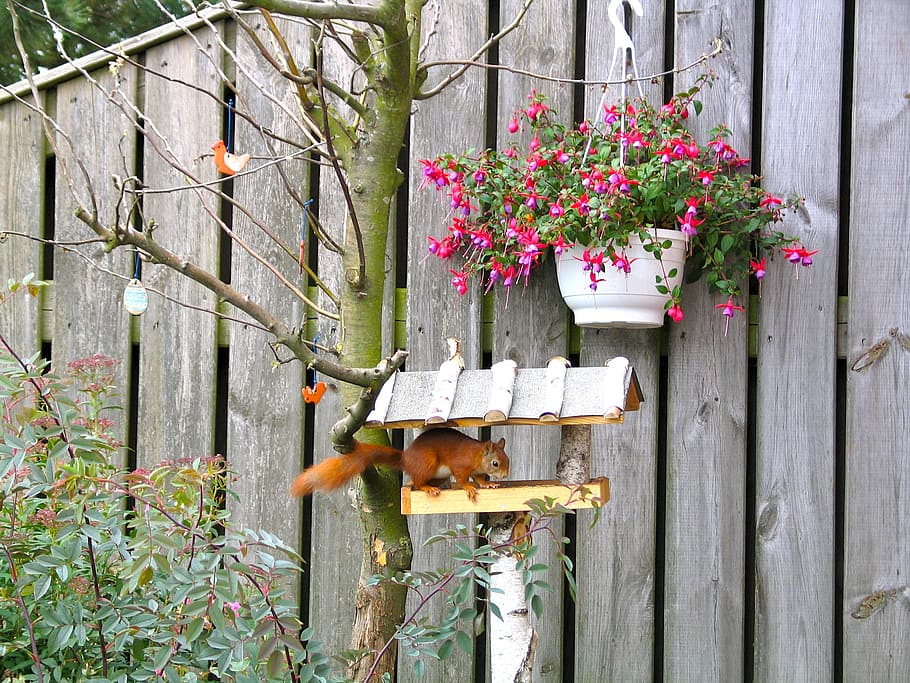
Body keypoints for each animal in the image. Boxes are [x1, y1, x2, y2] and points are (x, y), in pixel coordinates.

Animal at [290, 427, 509, 503]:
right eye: (495, 463)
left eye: (507, 460)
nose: (506, 475)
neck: (476, 455)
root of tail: (406, 459)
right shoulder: (460, 464)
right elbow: (463, 477)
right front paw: (469, 488)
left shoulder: (477, 470)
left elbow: (479, 477)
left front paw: (488, 484)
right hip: (428, 461)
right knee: (418, 482)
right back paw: (428, 488)